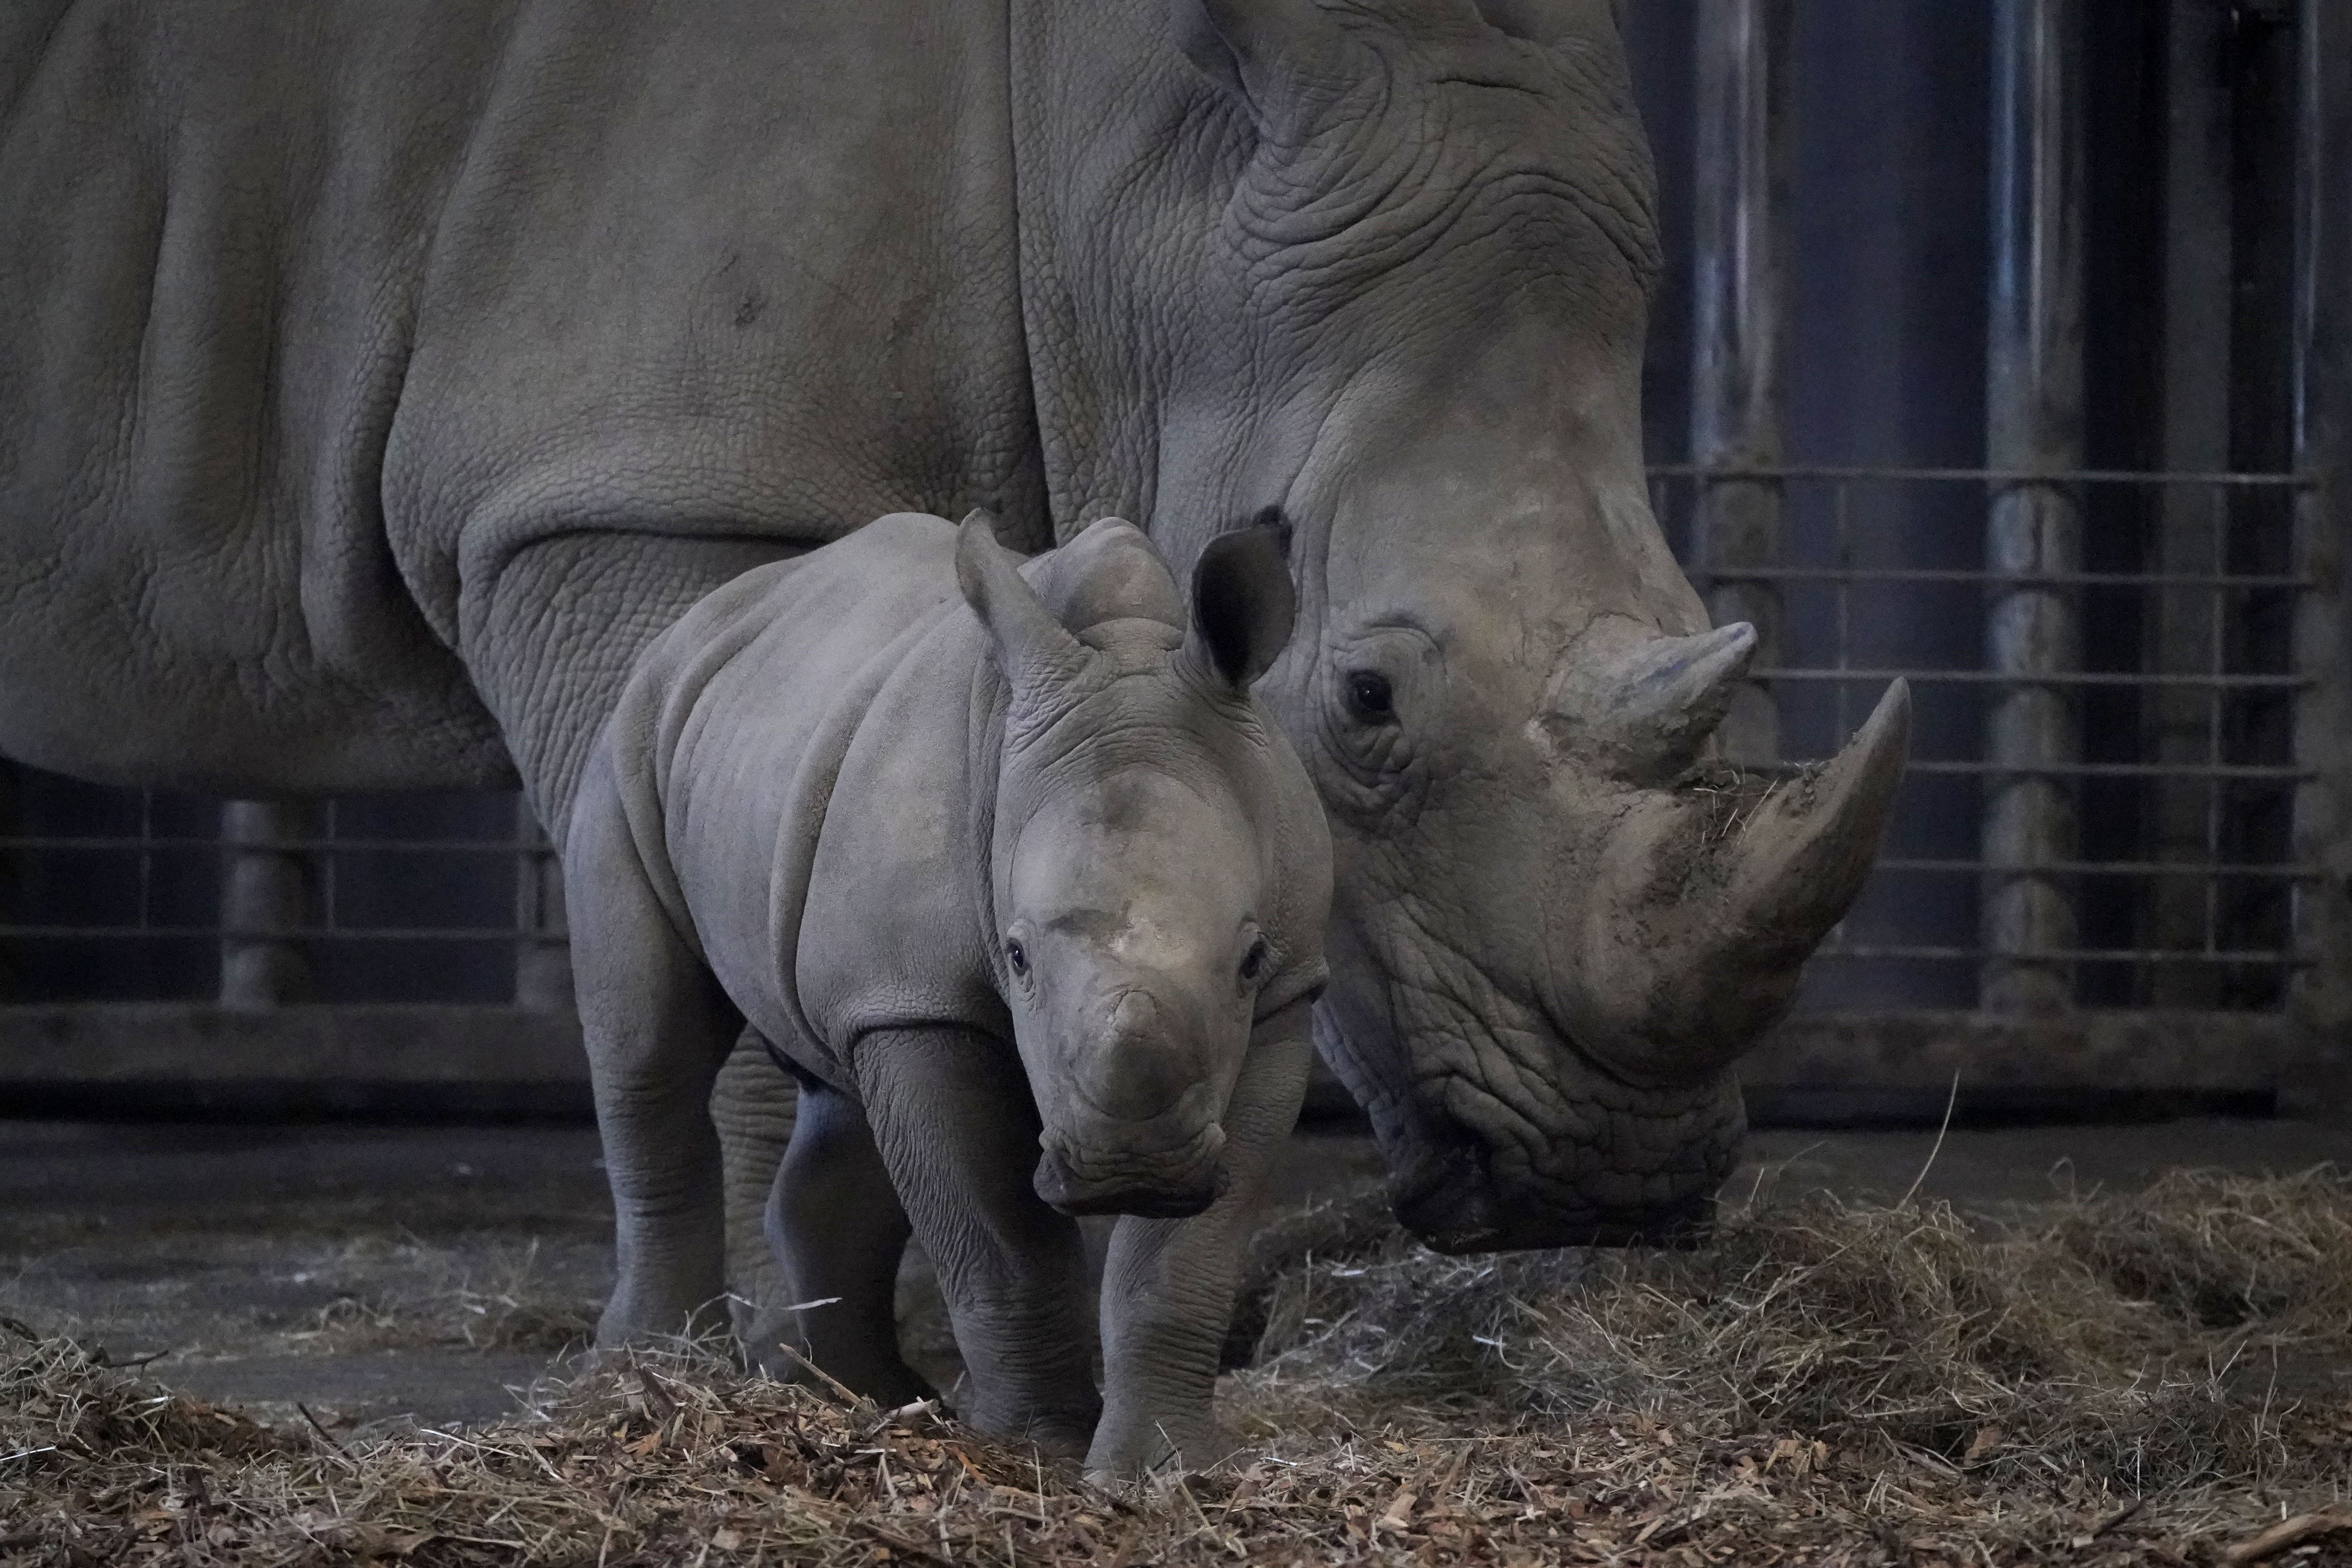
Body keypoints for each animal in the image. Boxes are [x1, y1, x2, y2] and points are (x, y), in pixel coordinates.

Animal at [562, 512, 1336, 1476]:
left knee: (841, 1097)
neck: (1123, 647)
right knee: (650, 1052)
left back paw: (860, 1395)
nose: (1132, 1167)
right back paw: (644, 1373)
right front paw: (1034, 1451)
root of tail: (707, 616)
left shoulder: (1285, 996)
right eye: (1016, 956)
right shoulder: (926, 999)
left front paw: (1161, 1470)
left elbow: (1187, 1259)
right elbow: (998, 1240)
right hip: (634, 739)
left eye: (1249, 958)